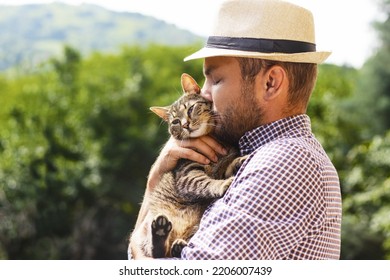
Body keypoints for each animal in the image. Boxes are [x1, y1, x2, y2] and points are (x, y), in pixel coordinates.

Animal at [129, 72, 247, 258]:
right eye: (175, 122)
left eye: (190, 109)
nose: (185, 124)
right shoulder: (187, 174)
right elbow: (206, 183)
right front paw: (223, 184)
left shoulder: (219, 166)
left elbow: (226, 167)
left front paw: (238, 162)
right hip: (148, 230)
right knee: (158, 253)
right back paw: (161, 232)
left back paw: (177, 245)